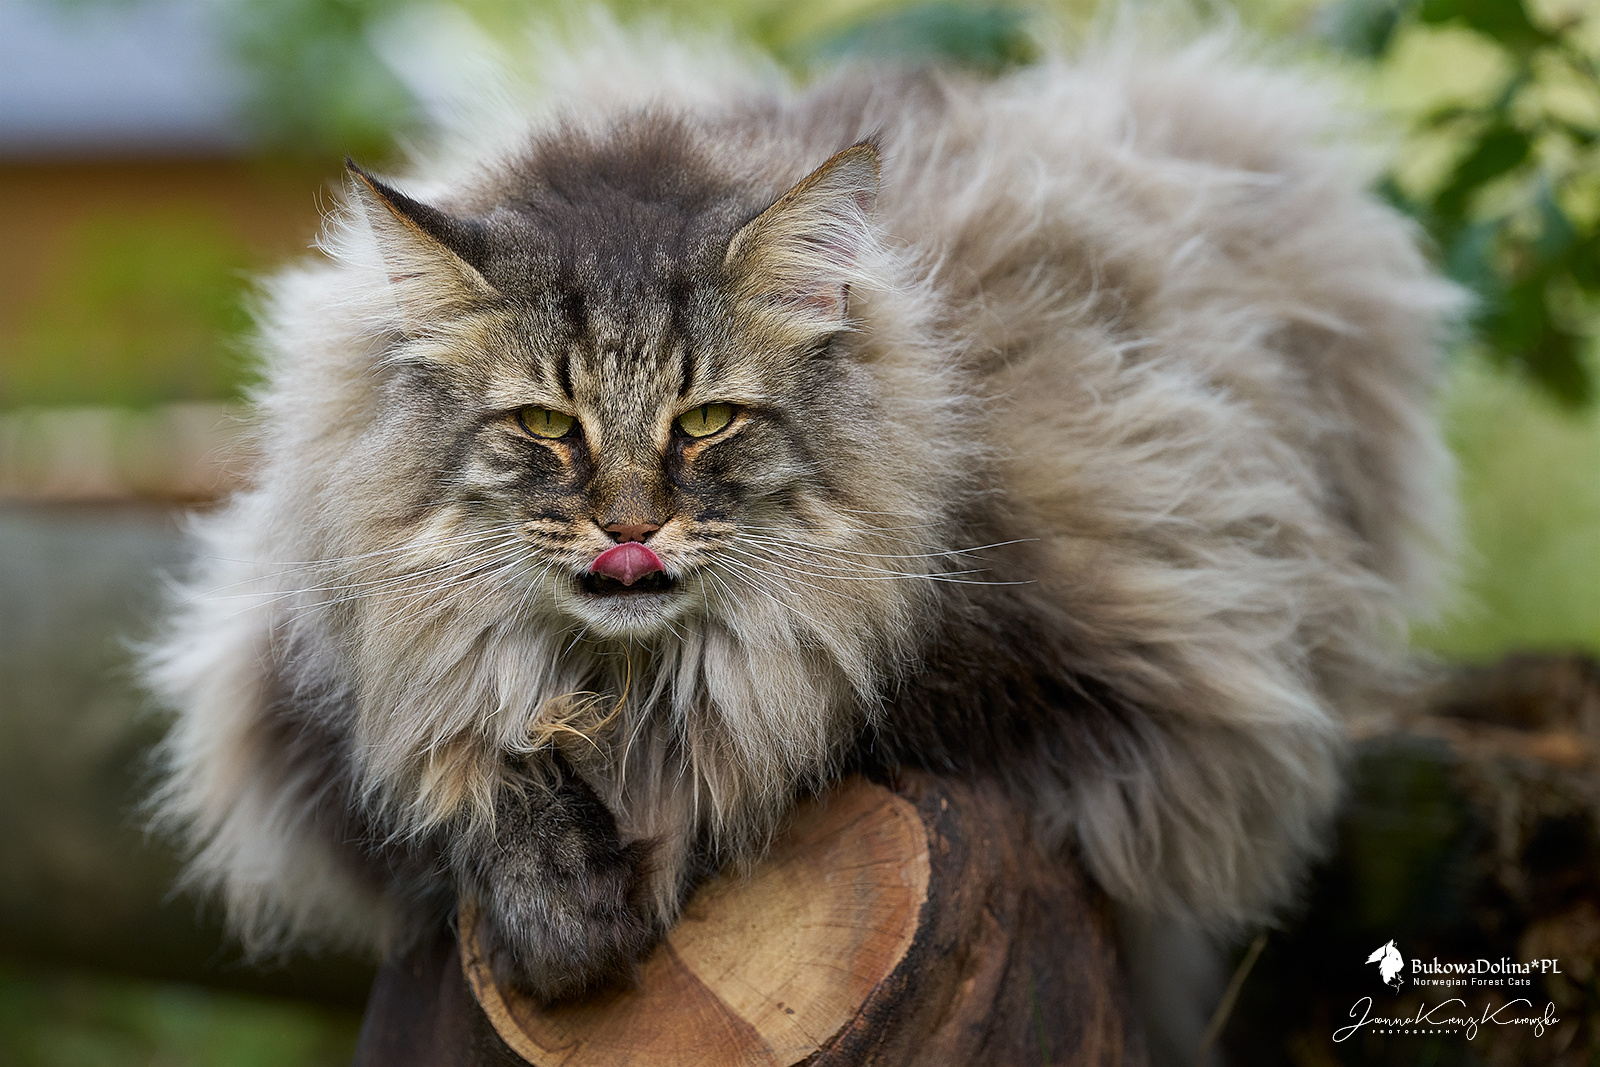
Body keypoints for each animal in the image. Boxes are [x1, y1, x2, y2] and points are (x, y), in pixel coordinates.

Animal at [144, 31, 1458, 1006]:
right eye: (549, 425)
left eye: (708, 420)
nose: (629, 526)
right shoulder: (309, 707)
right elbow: (465, 765)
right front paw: (557, 905)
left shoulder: (1102, 674)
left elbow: (783, 728)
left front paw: (649, 848)